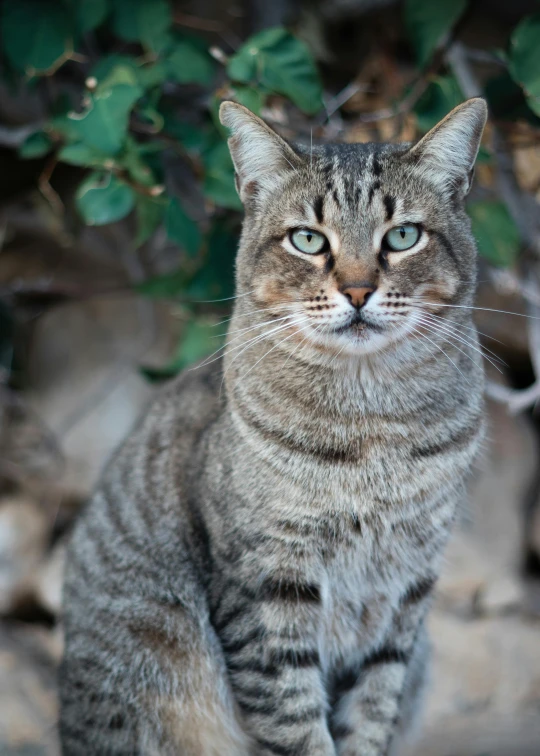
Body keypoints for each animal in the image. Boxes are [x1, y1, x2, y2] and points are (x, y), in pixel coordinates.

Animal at [60, 97, 490, 752]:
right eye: (308, 240)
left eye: (403, 236)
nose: (358, 290)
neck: (372, 426)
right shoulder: (267, 586)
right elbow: (296, 725)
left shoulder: (406, 592)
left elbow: (371, 713)